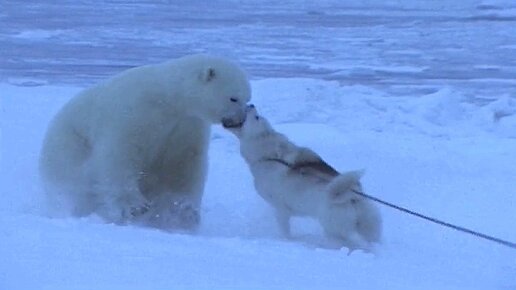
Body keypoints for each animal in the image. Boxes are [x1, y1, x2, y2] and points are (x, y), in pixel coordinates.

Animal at [38, 54, 252, 229]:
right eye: (234, 98)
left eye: (248, 98)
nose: (240, 120)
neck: (166, 99)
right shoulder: (133, 114)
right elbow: (119, 156)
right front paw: (134, 207)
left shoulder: (185, 127)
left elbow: (182, 165)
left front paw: (184, 211)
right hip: (68, 149)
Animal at [228, 106, 380, 251]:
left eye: (257, 117)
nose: (251, 104)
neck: (268, 156)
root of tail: (353, 196)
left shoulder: (281, 208)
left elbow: (285, 229)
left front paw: (286, 240)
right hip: (368, 228)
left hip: (334, 230)